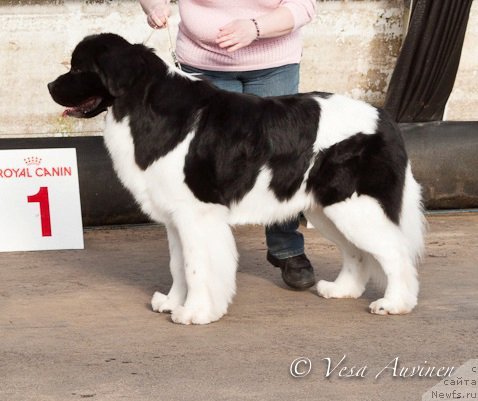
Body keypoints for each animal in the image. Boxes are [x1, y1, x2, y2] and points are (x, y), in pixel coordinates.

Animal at [48, 32, 424, 324]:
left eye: (79, 68)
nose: (50, 85)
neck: (143, 104)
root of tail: (384, 118)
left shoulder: (197, 213)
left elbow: (197, 265)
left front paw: (195, 312)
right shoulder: (175, 216)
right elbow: (177, 264)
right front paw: (171, 302)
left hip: (355, 205)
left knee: (395, 252)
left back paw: (395, 304)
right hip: (326, 208)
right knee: (357, 252)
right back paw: (341, 290)